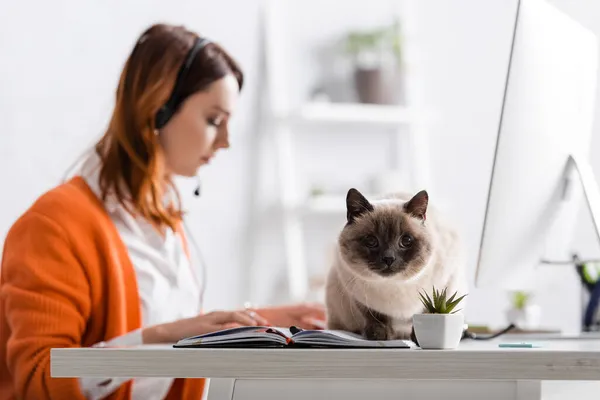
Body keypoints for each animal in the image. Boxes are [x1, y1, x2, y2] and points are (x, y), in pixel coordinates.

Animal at [326, 188, 466, 340]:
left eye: (406, 241)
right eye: (371, 241)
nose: (389, 258)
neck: (394, 285)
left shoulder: (444, 285)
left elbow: (428, 312)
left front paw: (417, 339)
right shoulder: (359, 298)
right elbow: (375, 317)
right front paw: (378, 336)